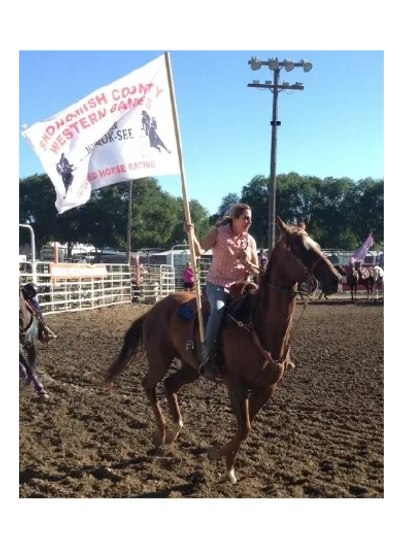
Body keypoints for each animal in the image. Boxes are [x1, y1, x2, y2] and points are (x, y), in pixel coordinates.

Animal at [104, 217, 341, 484]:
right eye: (299, 247)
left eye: (317, 245)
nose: (336, 280)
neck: (258, 324)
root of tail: (154, 309)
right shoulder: (236, 384)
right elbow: (245, 427)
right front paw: (217, 455)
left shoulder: (266, 388)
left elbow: (245, 427)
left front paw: (228, 467)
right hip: (159, 358)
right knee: (149, 384)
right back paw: (161, 433)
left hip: (191, 367)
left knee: (169, 384)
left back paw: (174, 431)